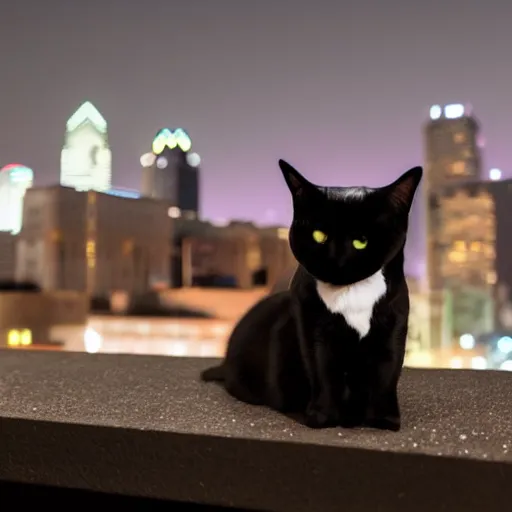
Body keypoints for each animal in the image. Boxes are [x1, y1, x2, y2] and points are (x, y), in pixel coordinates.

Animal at [202, 160, 422, 432]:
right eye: (319, 236)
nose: (337, 259)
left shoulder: (394, 324)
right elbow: (322, 371)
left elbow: (387, 372)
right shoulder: (311, 326)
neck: (352, 295)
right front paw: (323, 418)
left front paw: (385, 420)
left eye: (362, 241)